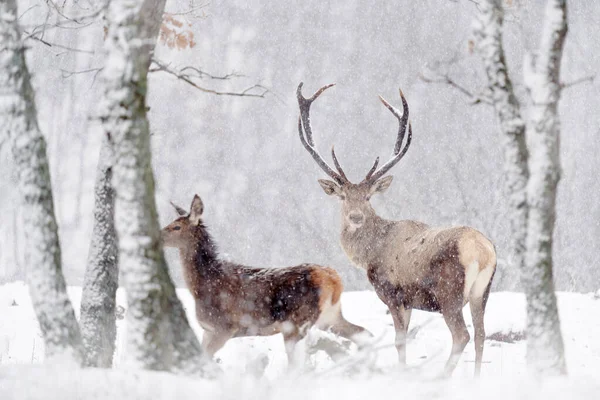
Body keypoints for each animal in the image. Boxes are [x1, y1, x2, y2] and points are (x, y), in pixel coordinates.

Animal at [159, 195, 370, 364]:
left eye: (176, 227)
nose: (158, 236)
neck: (200, 286)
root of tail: (334, 280)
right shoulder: (208, 330)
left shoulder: (225, 327)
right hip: (331, 316)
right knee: (363, 333)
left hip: (297, 322)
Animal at [296, 83, 496, 376]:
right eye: (343, 197)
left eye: (369, 197)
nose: (355, 216)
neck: (370, 254)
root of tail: (482, 252)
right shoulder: (409, 300)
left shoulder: (393, 293)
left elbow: (399, 340)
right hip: (482, 292)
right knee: (481, 334)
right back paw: (475, 379)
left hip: (450, 291)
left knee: (462, 335)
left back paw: (443, 376)